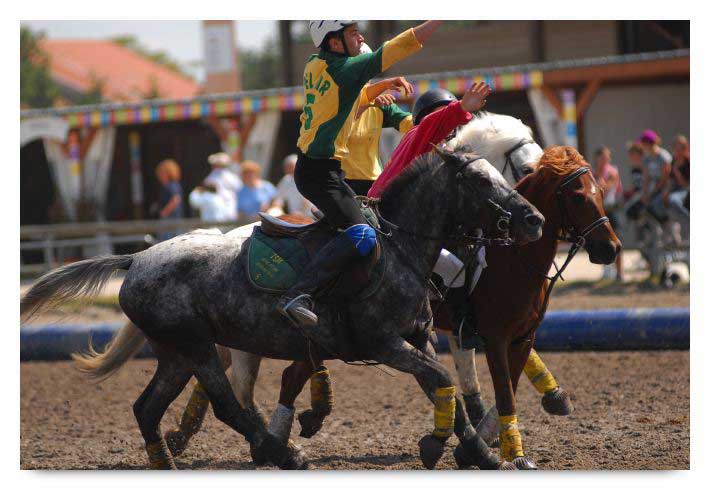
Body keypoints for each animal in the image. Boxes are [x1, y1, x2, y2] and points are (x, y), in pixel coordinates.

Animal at [21, 146, 545, 470]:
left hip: (175, 352)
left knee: (147, 408)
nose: (535, 219)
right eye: (481, 180)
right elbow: (440, 380)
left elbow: (443, 386)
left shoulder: (414, 338)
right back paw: (282, 451)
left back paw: (167, 461)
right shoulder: (383, 342)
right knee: (228, 405)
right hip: (197, 347)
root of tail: (137, 258)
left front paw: (480, 453)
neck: (401, 247)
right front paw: (438, 445)